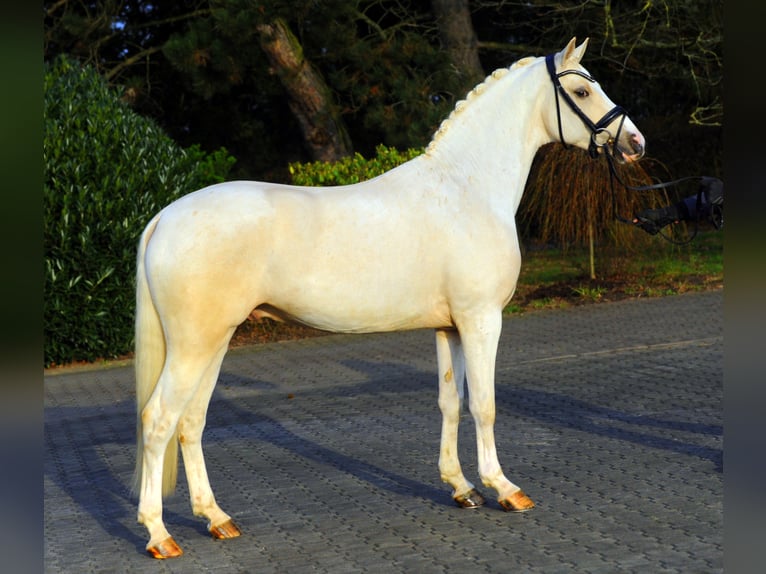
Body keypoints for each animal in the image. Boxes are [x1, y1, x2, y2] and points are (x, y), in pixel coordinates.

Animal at [134, 37, 645, 558]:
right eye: (582, 91)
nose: (635, 143)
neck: (467, 188)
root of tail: (165, 217)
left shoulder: (449, 327)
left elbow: (450, 402)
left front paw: (461, 488)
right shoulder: (481, 320)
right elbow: (484, 404)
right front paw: (504, 488)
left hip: (215, 341)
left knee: (191, 422)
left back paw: (216, 518)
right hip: (194, 346)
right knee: (158, 420)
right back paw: (159, 535)